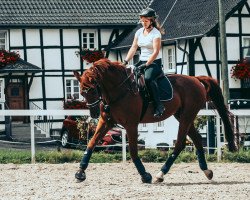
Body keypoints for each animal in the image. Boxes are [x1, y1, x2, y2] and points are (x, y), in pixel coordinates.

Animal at [72, 57, 236, 183]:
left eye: (93, 90)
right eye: (82, 92)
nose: (93, 113)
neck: (118, 91)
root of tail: (195, 79)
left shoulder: (131, 125)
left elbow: (133, 151)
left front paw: (145, 175)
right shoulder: (106, 122)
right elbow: (92, 143)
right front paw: (80, 172)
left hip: (187, 116)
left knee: (180, 144)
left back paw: (160, 174)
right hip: (182, 116)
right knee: (196, 141)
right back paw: (207, 171)